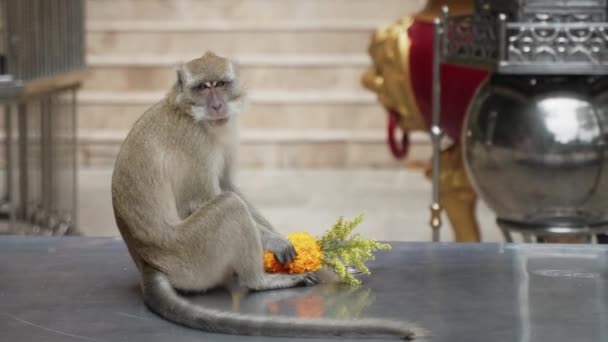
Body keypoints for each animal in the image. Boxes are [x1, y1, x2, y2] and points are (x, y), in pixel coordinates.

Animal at [110, 50, 418, 340]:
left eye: (220, 84)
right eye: (203, 87)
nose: (216, 105)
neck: (191, 114)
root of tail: (149, 264)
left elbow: (227, 185)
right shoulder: (193, 141)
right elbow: (202, 199)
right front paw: (279, 244)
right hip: (192, 258)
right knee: (230, 207)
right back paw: (260, 280)